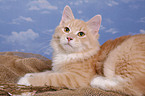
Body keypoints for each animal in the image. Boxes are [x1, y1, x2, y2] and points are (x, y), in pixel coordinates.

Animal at [17, 5, 145, 96]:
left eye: (81, 34)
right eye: (66, 29)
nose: (69, 38)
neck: (68, 55)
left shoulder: (75, 77)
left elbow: (50, 77)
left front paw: (25, 80)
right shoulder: (59, 70)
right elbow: (48, 72)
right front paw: (30, 74)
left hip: (117, 56)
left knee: (132, 88)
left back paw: (98, 80)